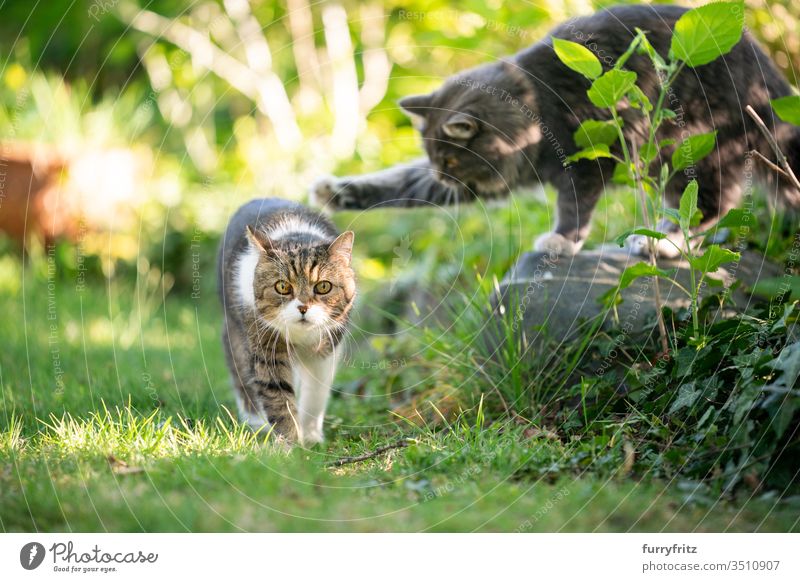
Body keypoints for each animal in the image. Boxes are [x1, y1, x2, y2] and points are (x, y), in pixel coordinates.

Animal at [219, 201, 356, 448]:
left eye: (323, 287)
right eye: (282, 287)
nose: (303, 308)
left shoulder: (325, 350)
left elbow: (315, 393)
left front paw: (310, 437)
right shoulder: (265, 346)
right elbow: (279, 397)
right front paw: (290, 445)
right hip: (235, 331)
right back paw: (257, 422)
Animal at [312, 3, 800, 256]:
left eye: (449, 158)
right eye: (433, 160)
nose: (443, 177)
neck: (533, 104)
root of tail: (771, 83)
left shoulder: (587, 160)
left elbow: (574, 208)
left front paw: (561, 241)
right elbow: (399, 183)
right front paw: (334, 191)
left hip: (692, 147)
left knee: (711, 203)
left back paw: (661, 244)